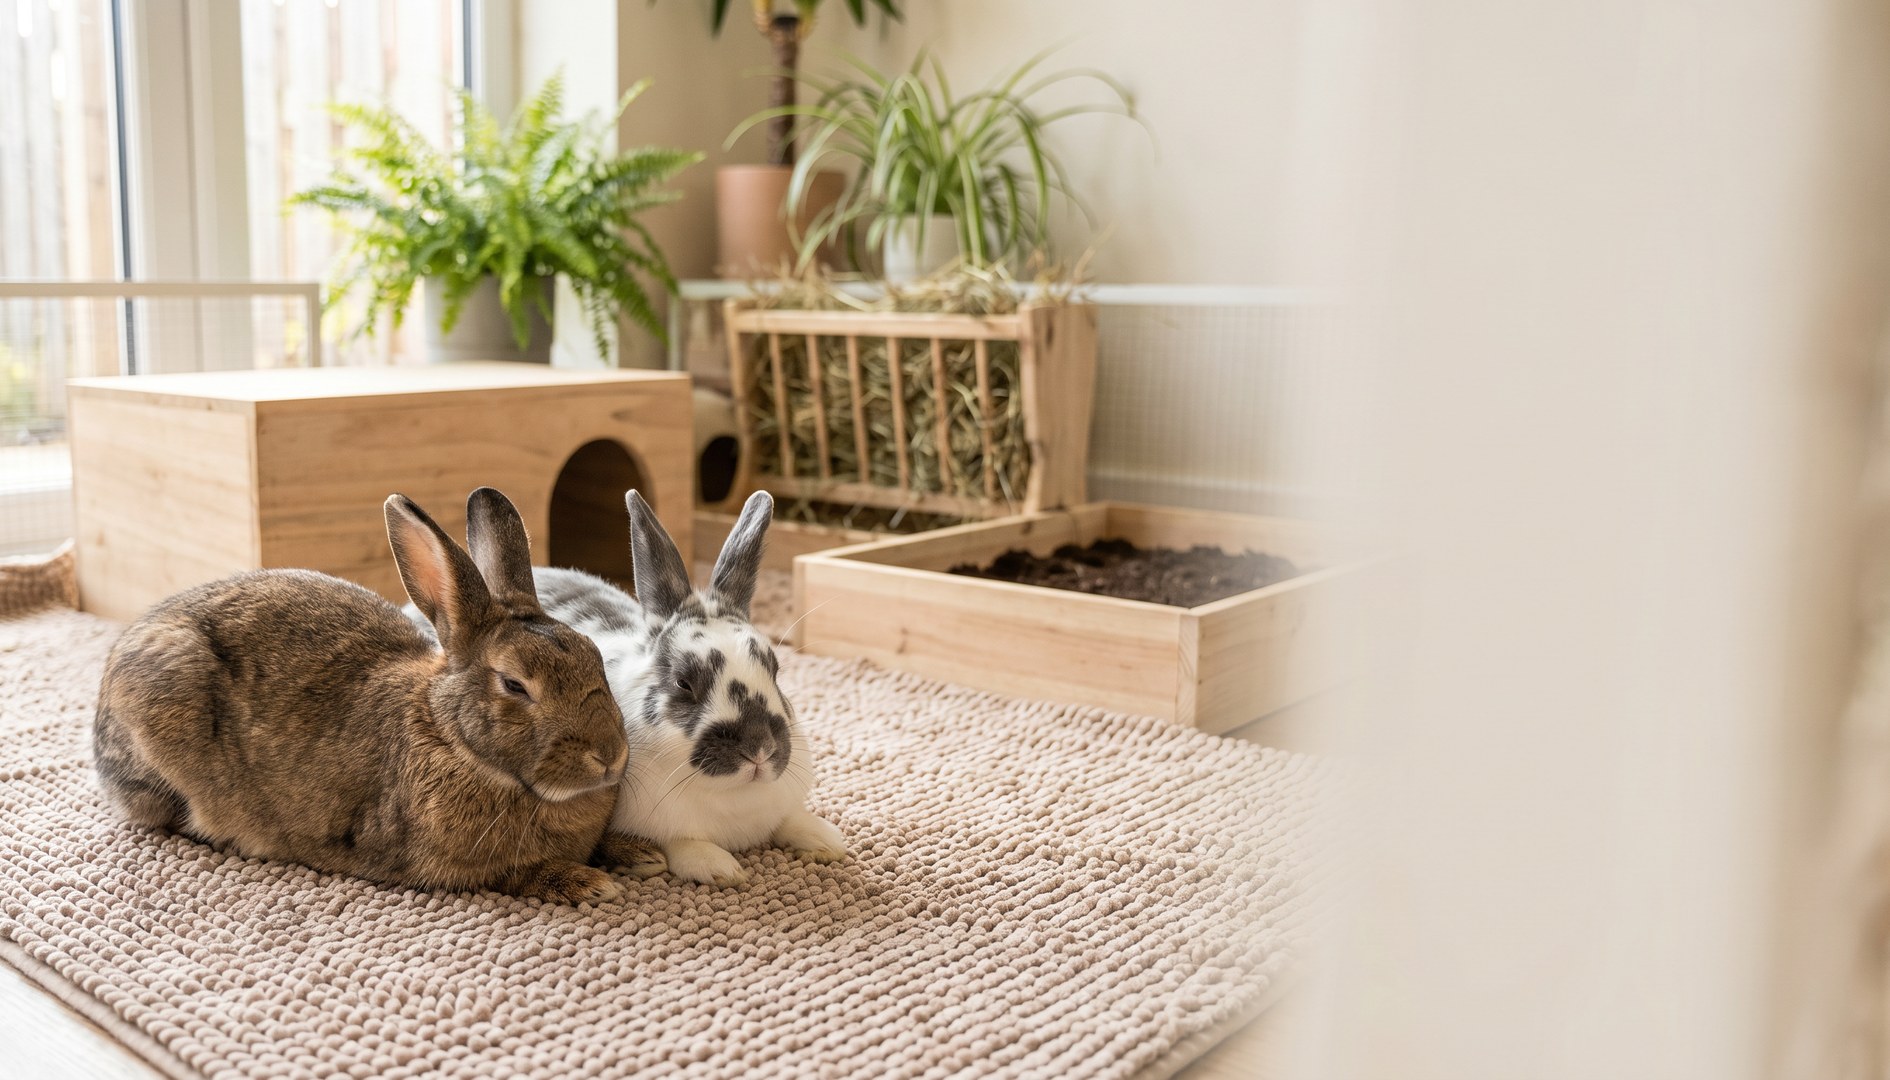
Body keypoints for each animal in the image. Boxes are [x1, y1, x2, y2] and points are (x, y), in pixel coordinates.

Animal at [92, 487, 664, 905]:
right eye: (515, 685)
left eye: (594, 656)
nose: (610, 757)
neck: (452, 738)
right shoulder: (434, 863)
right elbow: (514, 873)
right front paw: (588, 882)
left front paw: (640, 852)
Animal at [532, 489, 847, 887]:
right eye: (684, 682)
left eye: (774, 671)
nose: (760, 749)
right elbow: (679, 843)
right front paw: (721, 867)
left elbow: (788, 821)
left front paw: (827, 840)